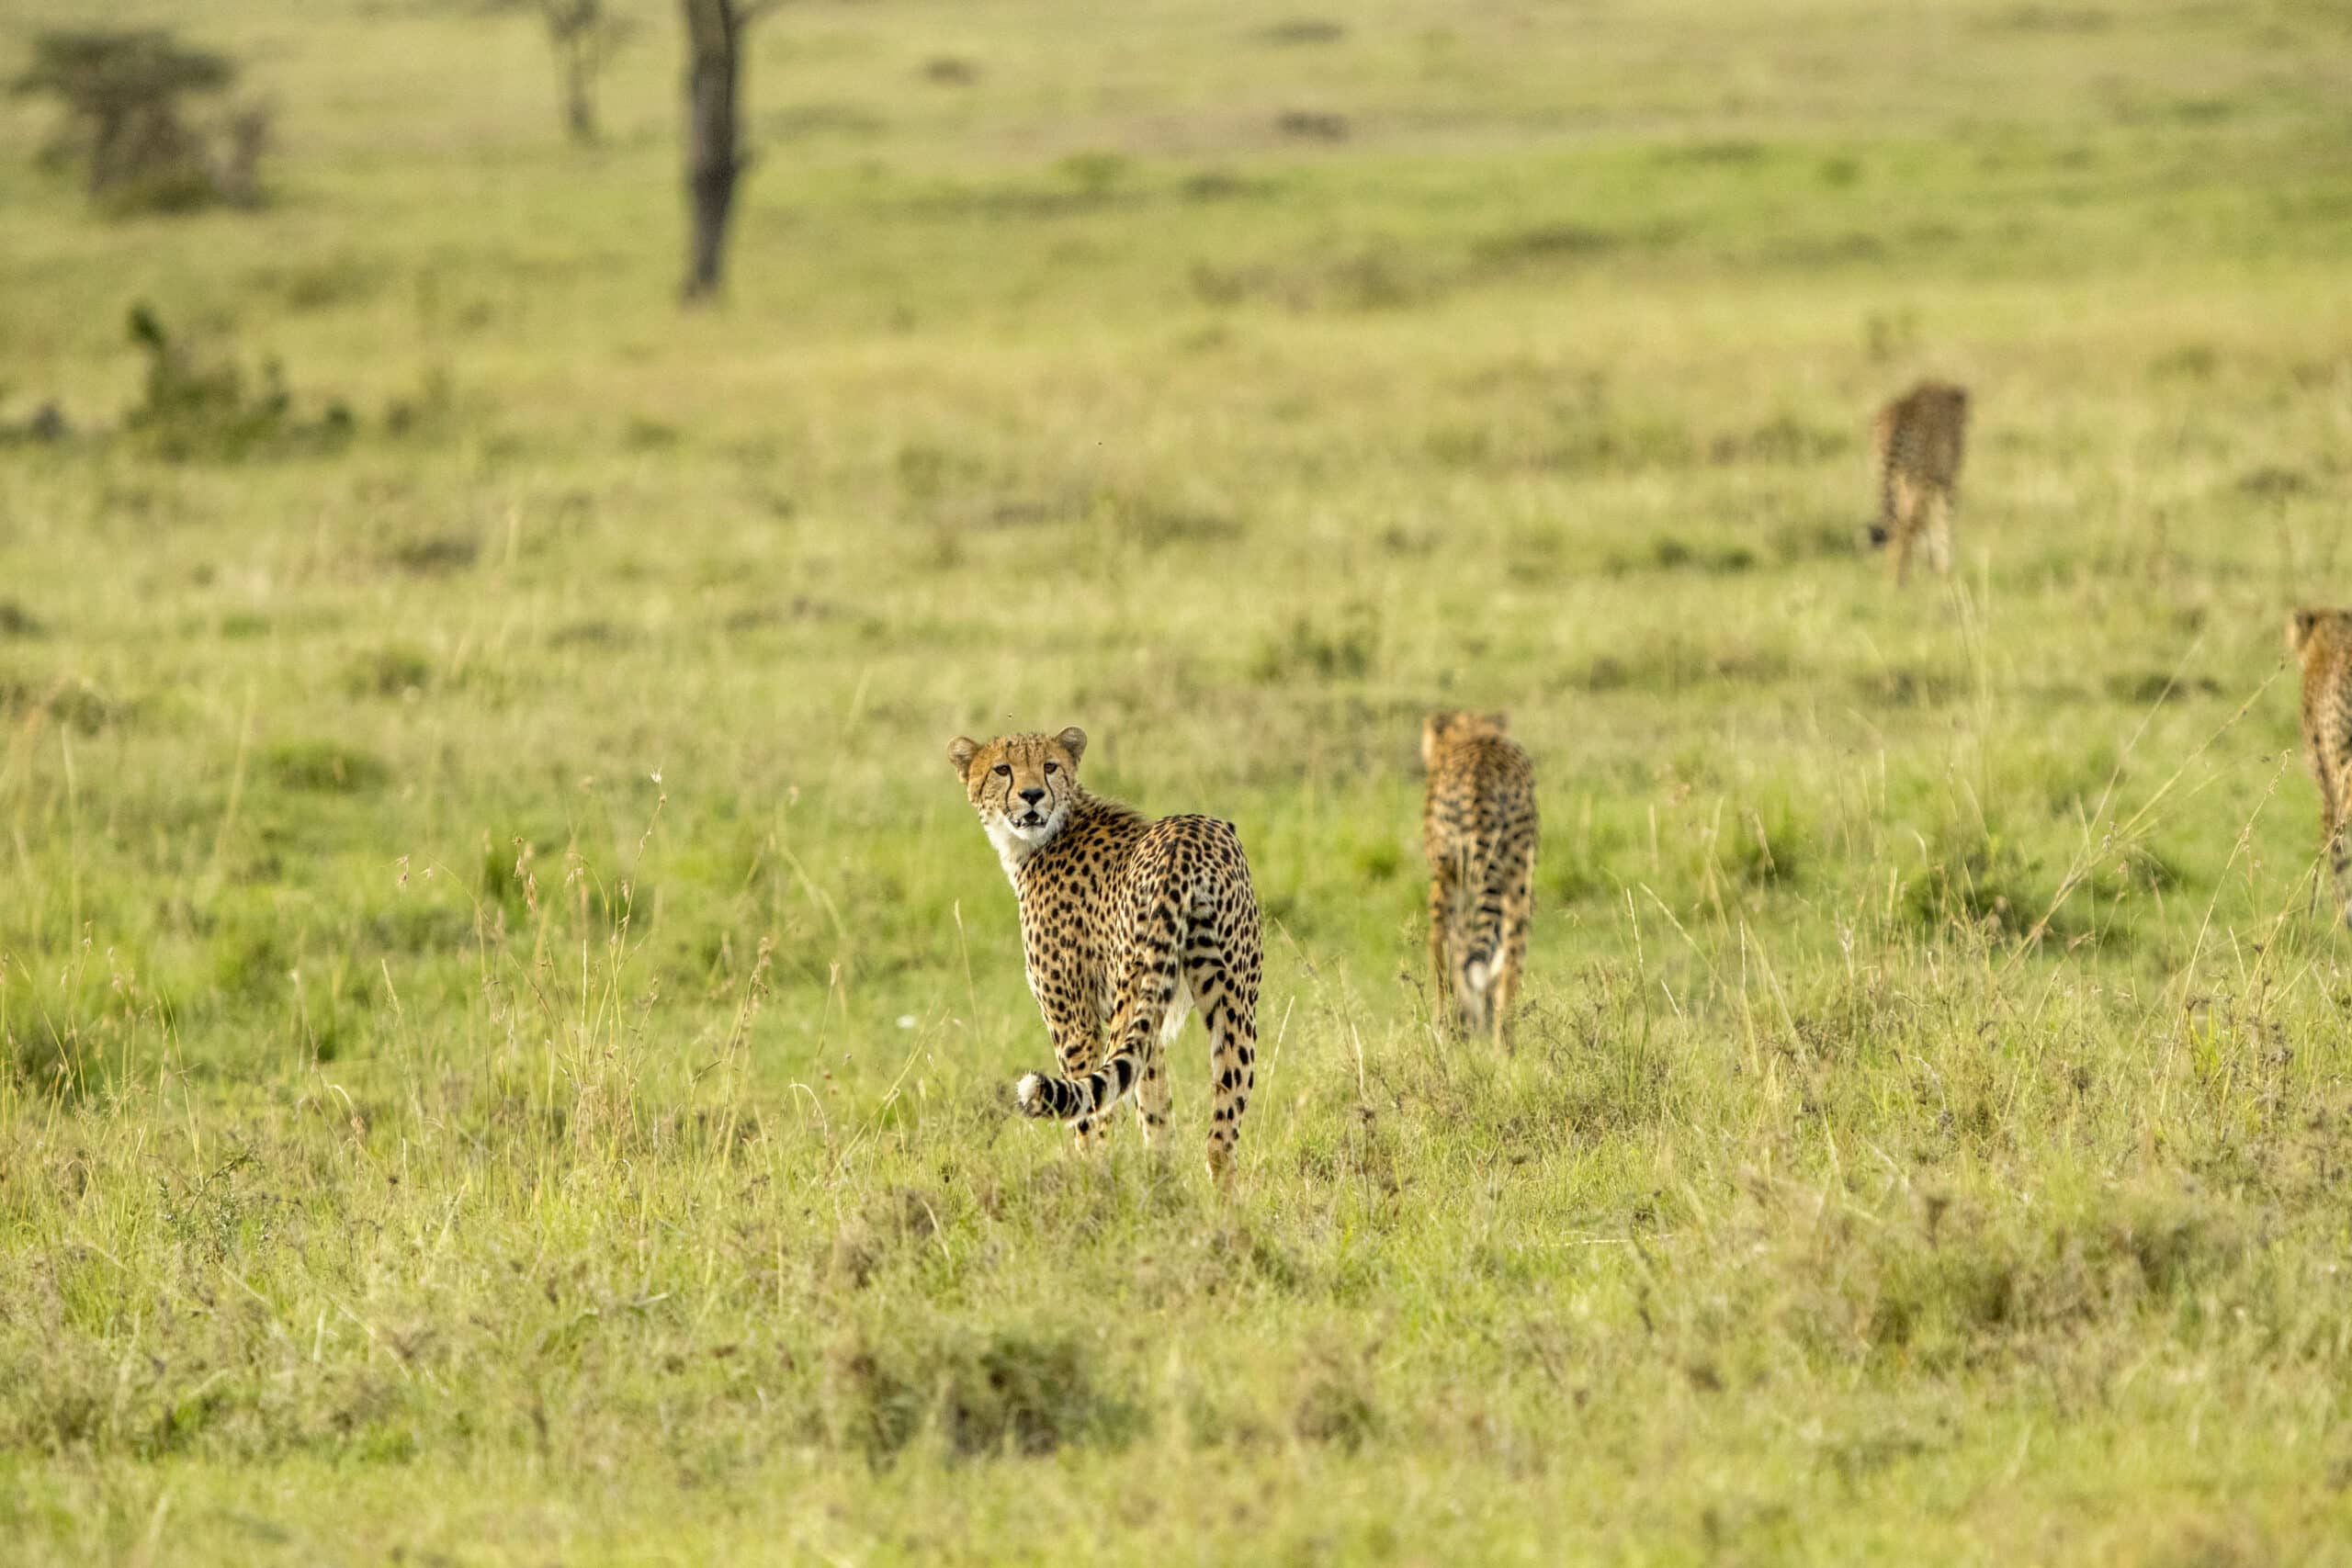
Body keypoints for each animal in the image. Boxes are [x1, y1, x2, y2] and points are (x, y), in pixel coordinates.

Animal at [945, 724, 1261, 1175]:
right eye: (1002, 769)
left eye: (1049, 766)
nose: (1032, 795)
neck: (1050, 833)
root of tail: (1186, 838)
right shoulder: (1153, 1031)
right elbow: (1156, 1113)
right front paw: (1160, 1181)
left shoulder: (1074, 1025)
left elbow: (1093, 1120)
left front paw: (1094, 1179)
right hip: (1232, 1001)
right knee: (1221, 1136)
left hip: (1130, 996)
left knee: (1098, 1111)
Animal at [1411, 709, 1543, 1043]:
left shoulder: (1444, 881)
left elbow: (1444, 953)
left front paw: (1450, 1025)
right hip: (1518, 881)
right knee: (1510, 962)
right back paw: (1504, 1044)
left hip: (1454, 879)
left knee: (1453, 951)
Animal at [1862, 380, 1975, 582]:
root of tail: (1903, 410)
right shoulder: (1944, 482)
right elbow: (1942, 524)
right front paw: (1944, 572)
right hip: (1918, 481)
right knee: (1909, 525)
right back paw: (1897, 579)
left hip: (1895, 479)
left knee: (1898, 523)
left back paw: (1891, 576)